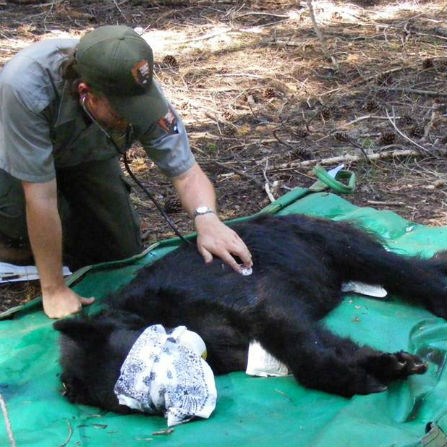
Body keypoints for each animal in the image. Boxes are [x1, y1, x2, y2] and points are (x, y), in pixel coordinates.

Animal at [53, 215, 447, 414]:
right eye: (145, 405)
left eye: (146, 367)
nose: (175, 404)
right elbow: (331, 348)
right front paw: (384, 366)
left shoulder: (265, 307)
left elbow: (307, 358)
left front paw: (359, 377)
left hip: (350, 251)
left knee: (412, 272)